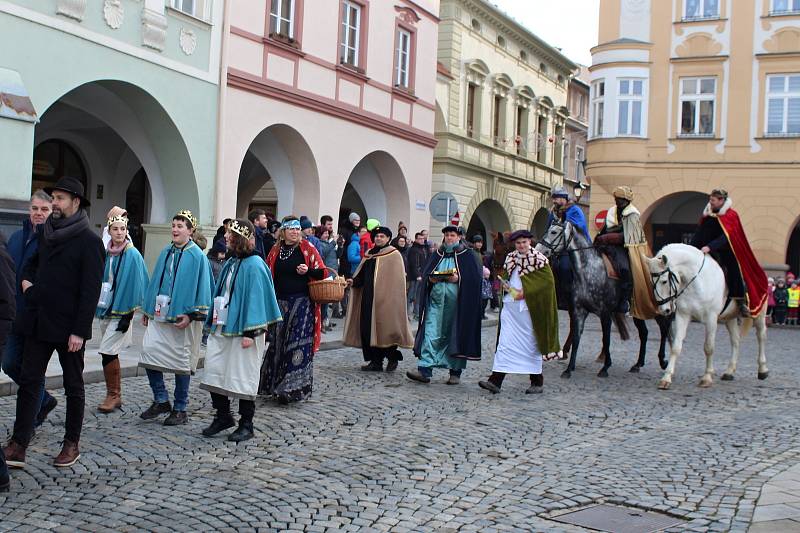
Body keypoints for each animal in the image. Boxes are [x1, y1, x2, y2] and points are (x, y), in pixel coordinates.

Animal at [536, 220, 672, 378]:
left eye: (553, 232)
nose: (539, 250)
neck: (589, 271)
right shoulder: (579, 311)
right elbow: (576, 337)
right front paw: (569, 369)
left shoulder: (605, 313)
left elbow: (605, 339)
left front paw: (605, 367)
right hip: (638, 312)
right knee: (644, 333)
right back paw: (638, 364)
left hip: (657, 307)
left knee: (664, 328)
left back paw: (663, 361)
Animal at [644, 243, 768, 388]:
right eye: (651, 282)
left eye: (664, 281)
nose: (664, 310)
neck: (697, 281)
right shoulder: (683, 316)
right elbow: (676, 347)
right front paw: (666, 378)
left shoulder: (711, 318)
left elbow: (709, 347)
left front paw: (707, 377)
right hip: (729, 317)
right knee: (735, 340)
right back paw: (729, 371)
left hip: (759, 313)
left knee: (761, 336)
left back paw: (763, 369)